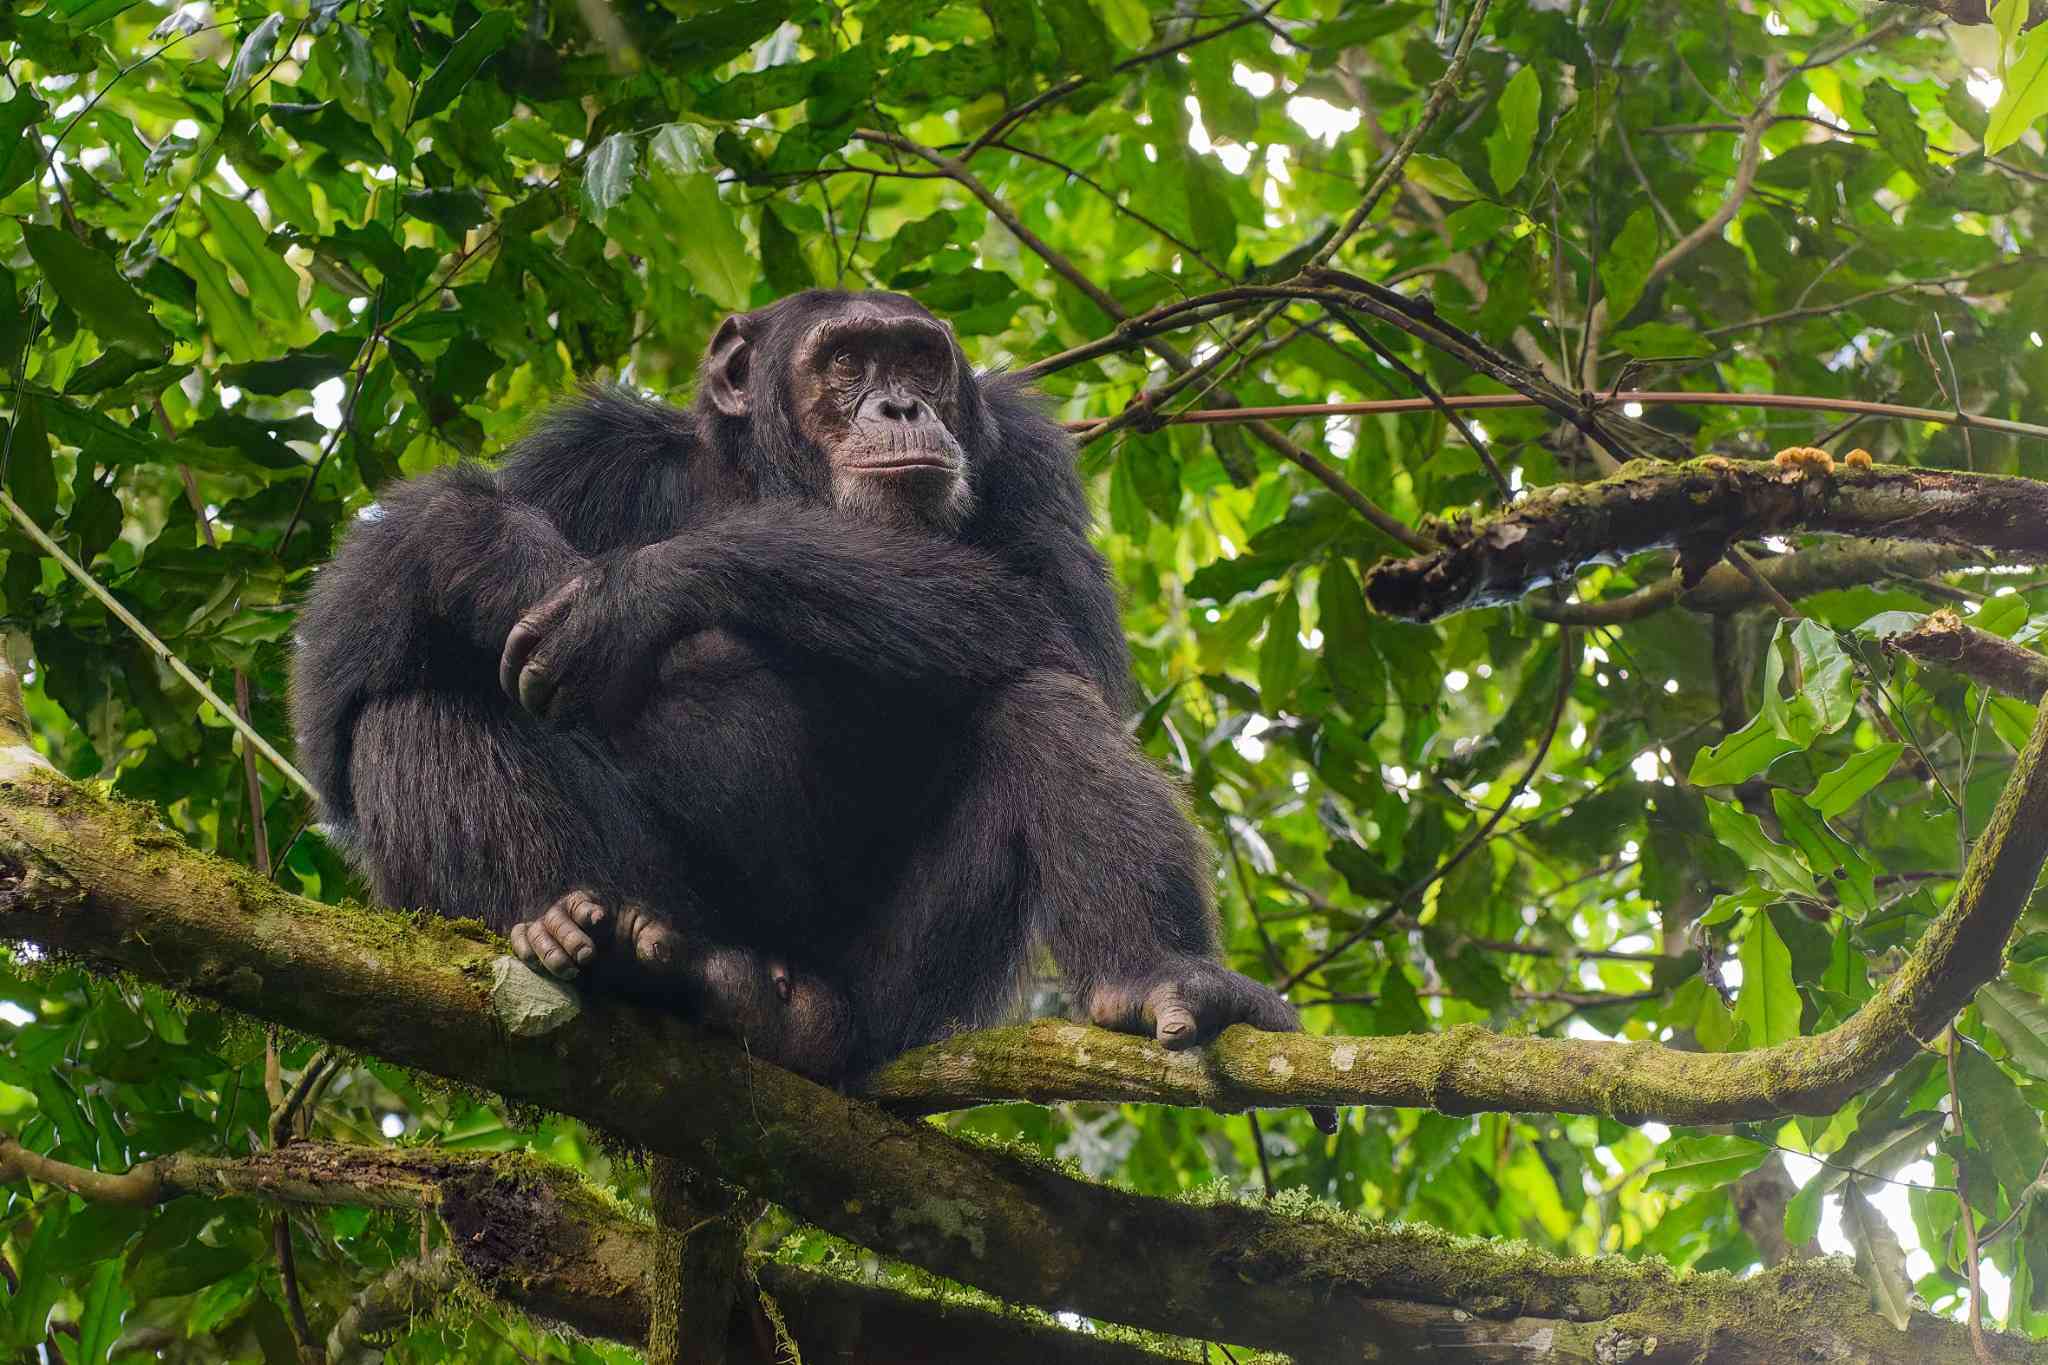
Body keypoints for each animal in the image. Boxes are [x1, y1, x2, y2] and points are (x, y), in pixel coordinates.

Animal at [292, 288, 1310, 1096]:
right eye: (848, 360)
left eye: (920, 359)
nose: (901, 401)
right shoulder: (585, 453)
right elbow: (334, 681)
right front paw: (482, 540)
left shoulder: (1025, 451)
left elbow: (1056, 618)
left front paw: (631, 593)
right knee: (407, 709)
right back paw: (566, 930)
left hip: (895, 994)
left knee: (1040, 697)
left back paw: (1161, 979)